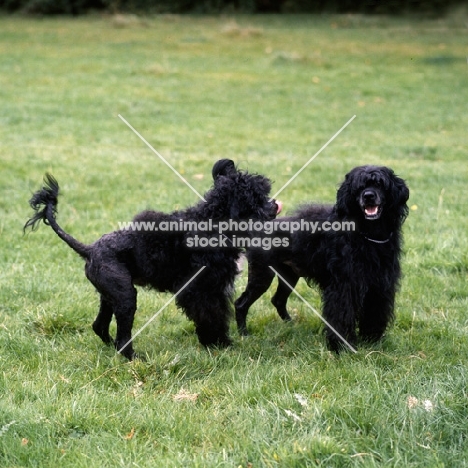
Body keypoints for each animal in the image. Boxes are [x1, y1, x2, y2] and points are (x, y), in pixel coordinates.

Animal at [24, 159, 282, 360]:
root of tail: (89, 250)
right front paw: (215, 343)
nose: (274, 206)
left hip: (109, 295)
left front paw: (222, 342)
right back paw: (134, 358)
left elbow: (218, 314)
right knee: (122, 338)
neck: (213, 222)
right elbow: (211, 316)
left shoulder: (215, 289)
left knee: (99, 327)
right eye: (256, 199)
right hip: (125, 297)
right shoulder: (199, 290)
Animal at [236, 165, 408, 352]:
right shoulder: (343, 285)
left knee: (278, 300)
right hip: (262, 275)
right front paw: (340, 346)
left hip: (289, 276)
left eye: (380, 184)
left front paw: (371, 340)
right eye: (358, 187)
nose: (368, 196)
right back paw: (244, 334)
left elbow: (375, 313)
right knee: (241, 303)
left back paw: (290, 325)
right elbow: (341, 315)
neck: (368, 234)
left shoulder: (380, 285)